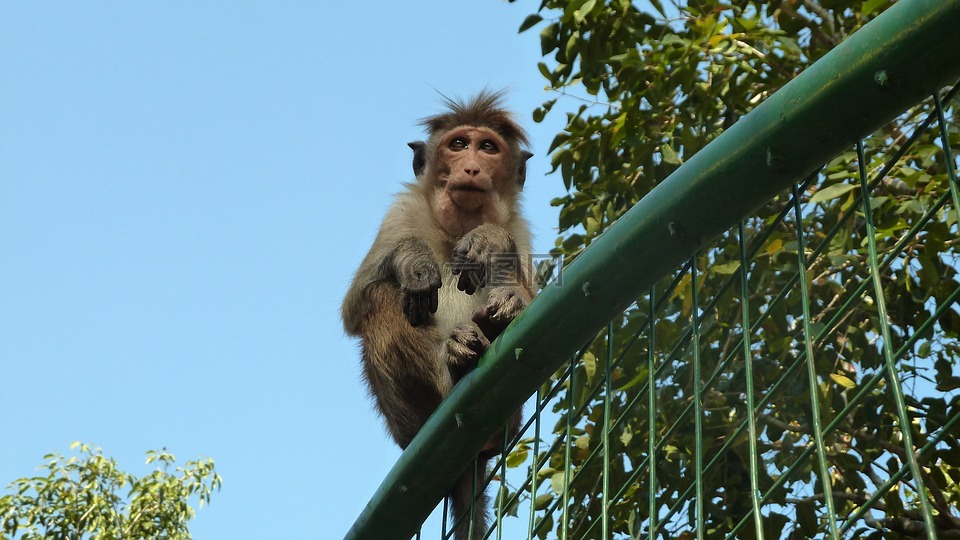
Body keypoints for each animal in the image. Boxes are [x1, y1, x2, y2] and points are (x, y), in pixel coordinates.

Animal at [344, 90, 540, 536]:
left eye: (488, 148)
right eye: (458, 144)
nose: (471, 166)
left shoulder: (519, 228)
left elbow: (532, 295)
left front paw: (489, 243)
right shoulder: (400, 213)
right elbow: (355, 304)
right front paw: (413, 260)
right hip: (405, 422)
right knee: (383, 296)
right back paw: (453, 359)